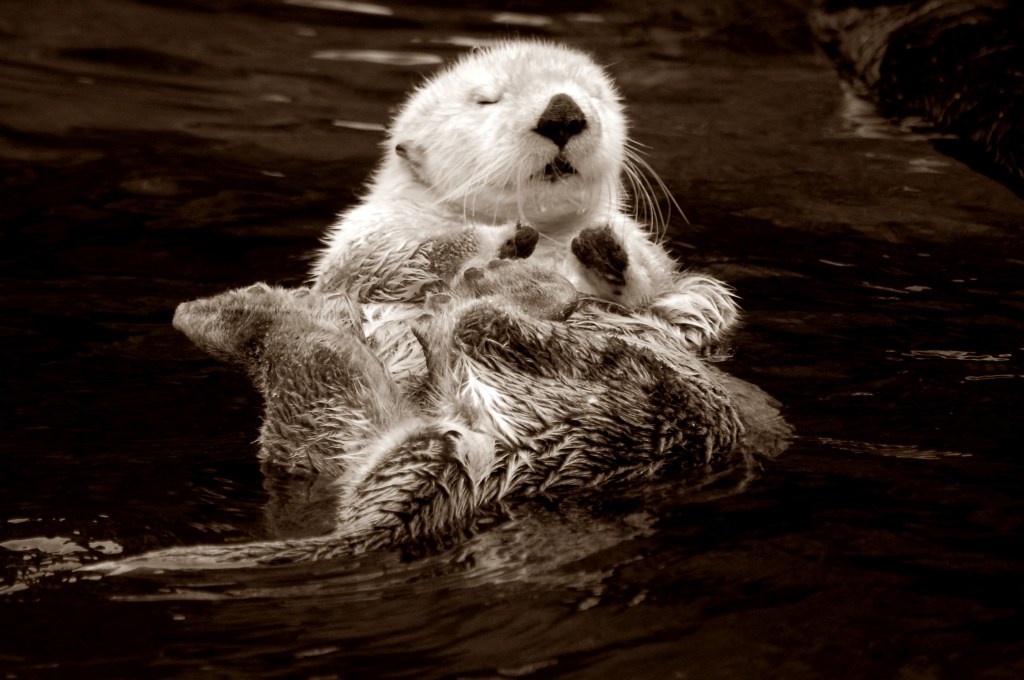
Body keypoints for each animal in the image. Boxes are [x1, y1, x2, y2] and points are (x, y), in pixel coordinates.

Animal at [311, 39, 739, 349]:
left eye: (595, 94)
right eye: (486, 100)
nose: (563, 112)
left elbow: (682, 297)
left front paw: (607, 252)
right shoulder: (366, 238)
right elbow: (396, 260)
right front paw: (500, 241)